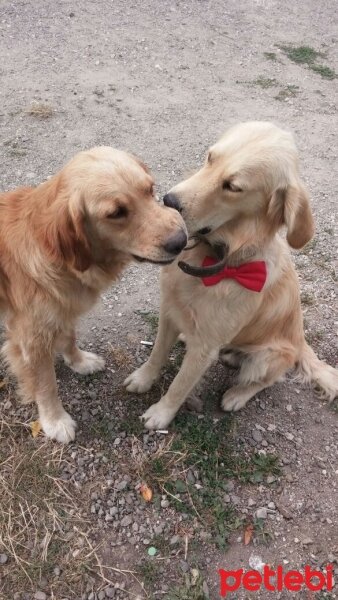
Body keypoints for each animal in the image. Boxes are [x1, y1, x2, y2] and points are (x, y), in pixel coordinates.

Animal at [0, 148, 186, 442]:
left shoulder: (63, 308)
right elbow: (45, 384)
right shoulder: (32, 336)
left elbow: (69, 337)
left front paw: (79, 362)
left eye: (149, 189)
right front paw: (55, 421)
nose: (181, 240)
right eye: (116, 212)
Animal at [124, 120, 338, 426]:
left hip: (268, 358)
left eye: (233, 187)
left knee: (268, 380)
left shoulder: (205, 347)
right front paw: (143, 379)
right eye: (210, 157)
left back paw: (237, 395)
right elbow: (156, 354)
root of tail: (301, 342)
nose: (168, 200)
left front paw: (161, 414)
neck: (213, 259)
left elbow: (180, 385)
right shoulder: (169, 312)